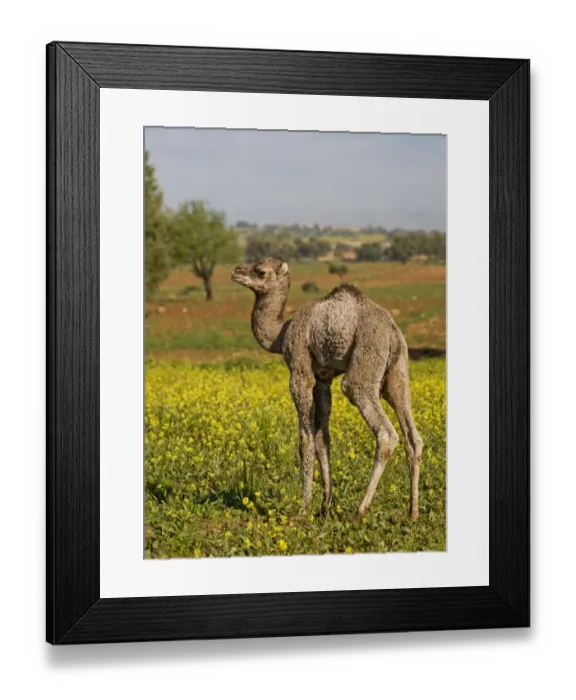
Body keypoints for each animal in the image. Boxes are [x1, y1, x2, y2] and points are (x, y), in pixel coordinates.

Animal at [232, 257, 423, 521]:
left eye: (260, 272)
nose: (236, 271)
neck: (281, 333)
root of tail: (392, 332)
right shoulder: (323, 378)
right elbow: (324, 438)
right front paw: (325, 505)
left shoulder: (300, 369)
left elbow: (305, 440)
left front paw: (303, 509)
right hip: (397, 371)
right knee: (412, 435)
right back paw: (412, 514)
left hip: (365, 362)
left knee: (385, 432)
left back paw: (360, 511)